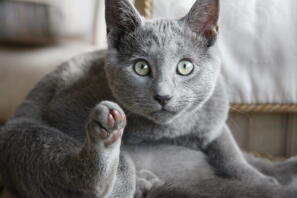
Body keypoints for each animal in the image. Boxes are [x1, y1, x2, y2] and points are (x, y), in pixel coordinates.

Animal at [0, 0, 296, 198]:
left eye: (185, 67)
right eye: (141, 67)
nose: (163, 96)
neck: (169, 130)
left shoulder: (214, 116)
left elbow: (230, 152)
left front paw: (259, 179)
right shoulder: (64, 111)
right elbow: (123, 160)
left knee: (251, 157)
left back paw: (283, 171)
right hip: (27, 140)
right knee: (86, 180)